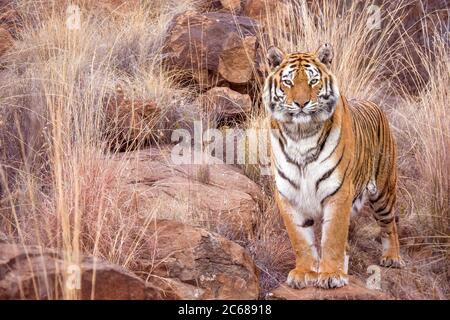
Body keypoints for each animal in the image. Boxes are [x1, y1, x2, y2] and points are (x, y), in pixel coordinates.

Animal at [262, 43, 406, 288]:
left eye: (313, 81)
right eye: (288, 82)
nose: (301, 104)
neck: (300, 135)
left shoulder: (339, 192)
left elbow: (332, 237)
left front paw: (331, 275)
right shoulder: (289, 195)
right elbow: (301, 240)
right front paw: (304, 273)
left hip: (384, 191)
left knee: (390, 225)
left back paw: (392, 258)